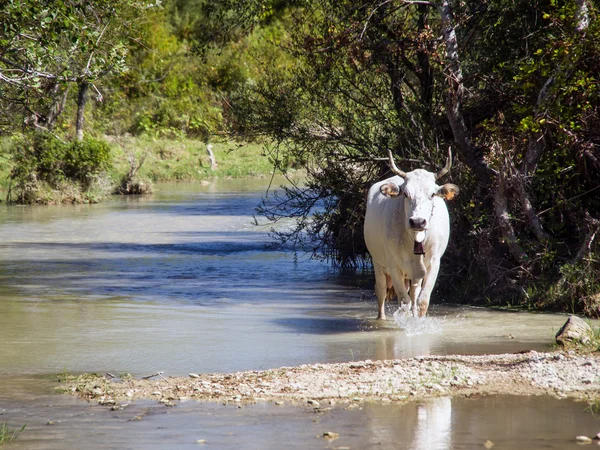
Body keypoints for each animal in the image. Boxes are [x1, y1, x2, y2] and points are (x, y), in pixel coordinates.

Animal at [360, 151, 460, 320]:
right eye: (406, 194)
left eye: (432, 194)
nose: (418, 222)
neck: (415, 238)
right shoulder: (393, 265)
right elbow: (403, 302)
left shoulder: (434, 263)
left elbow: (422, 301)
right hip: (378, 262)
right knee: (381, 290)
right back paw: (382, 318)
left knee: (414, 292)